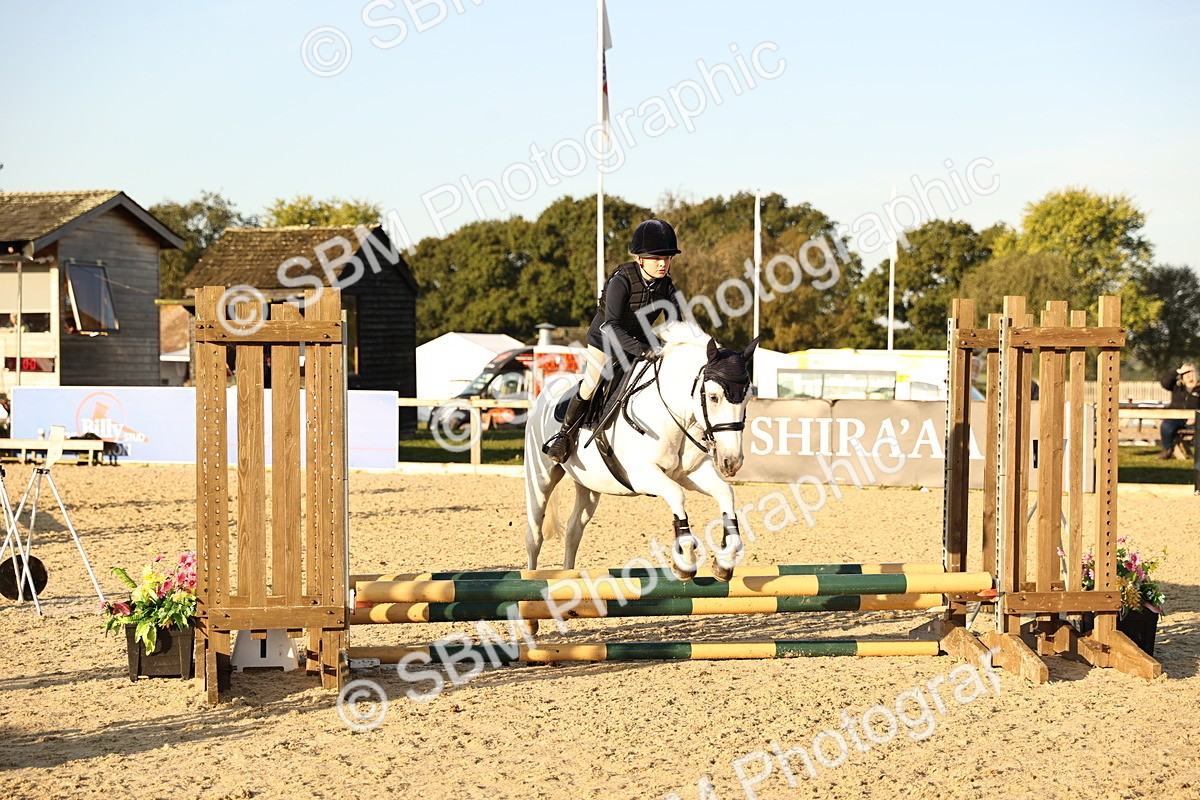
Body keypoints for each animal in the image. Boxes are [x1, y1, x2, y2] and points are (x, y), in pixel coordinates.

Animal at [524, 324, 759, 582]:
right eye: (714, 397)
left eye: (747, 398)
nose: (732, 462)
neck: (672, 412)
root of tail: (547, 390)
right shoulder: (642, 475)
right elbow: (676, 494)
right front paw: (685, 559)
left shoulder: (691, 473)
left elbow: (725, 492)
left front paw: (725, 562)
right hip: (541, 478)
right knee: (534, 534)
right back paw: (531, 578)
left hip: (589, 484)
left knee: (574, 530)